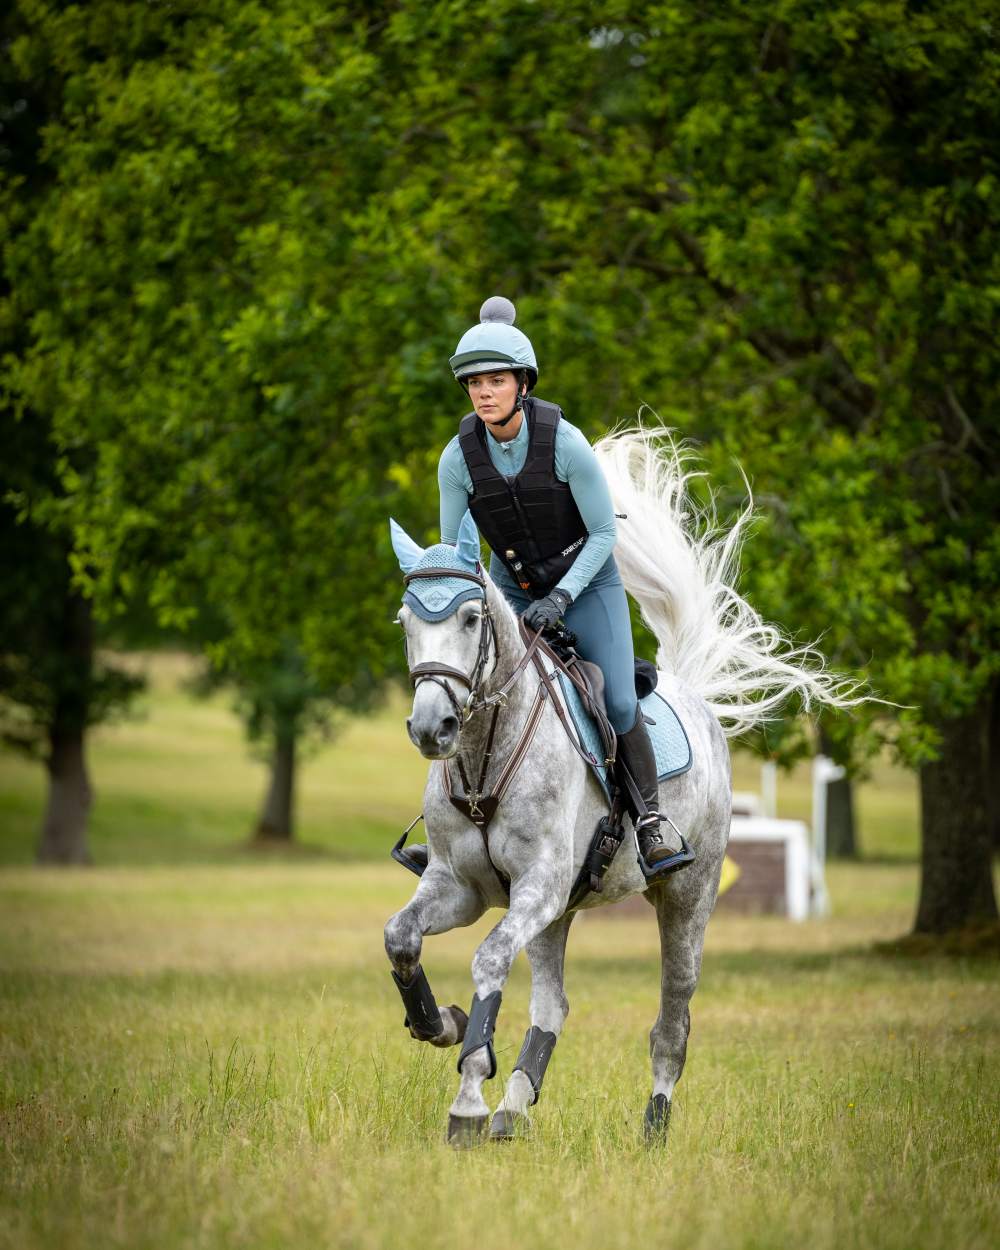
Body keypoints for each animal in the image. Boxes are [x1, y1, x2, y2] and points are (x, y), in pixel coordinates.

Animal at [385, 430, 860, 1145]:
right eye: (404, 621)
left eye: (470, 618)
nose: (430, 727)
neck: (485, 756)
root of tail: (691, 695)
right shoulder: (459, 886)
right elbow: (401, 939)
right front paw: (439, 1024)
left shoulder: (537, 886)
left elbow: (488, 963)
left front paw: (466, 1098)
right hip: (559, 911)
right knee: (552, 1006)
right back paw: (513, 1109)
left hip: (685, 900)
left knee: (673, 1020)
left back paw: (653, 1128)